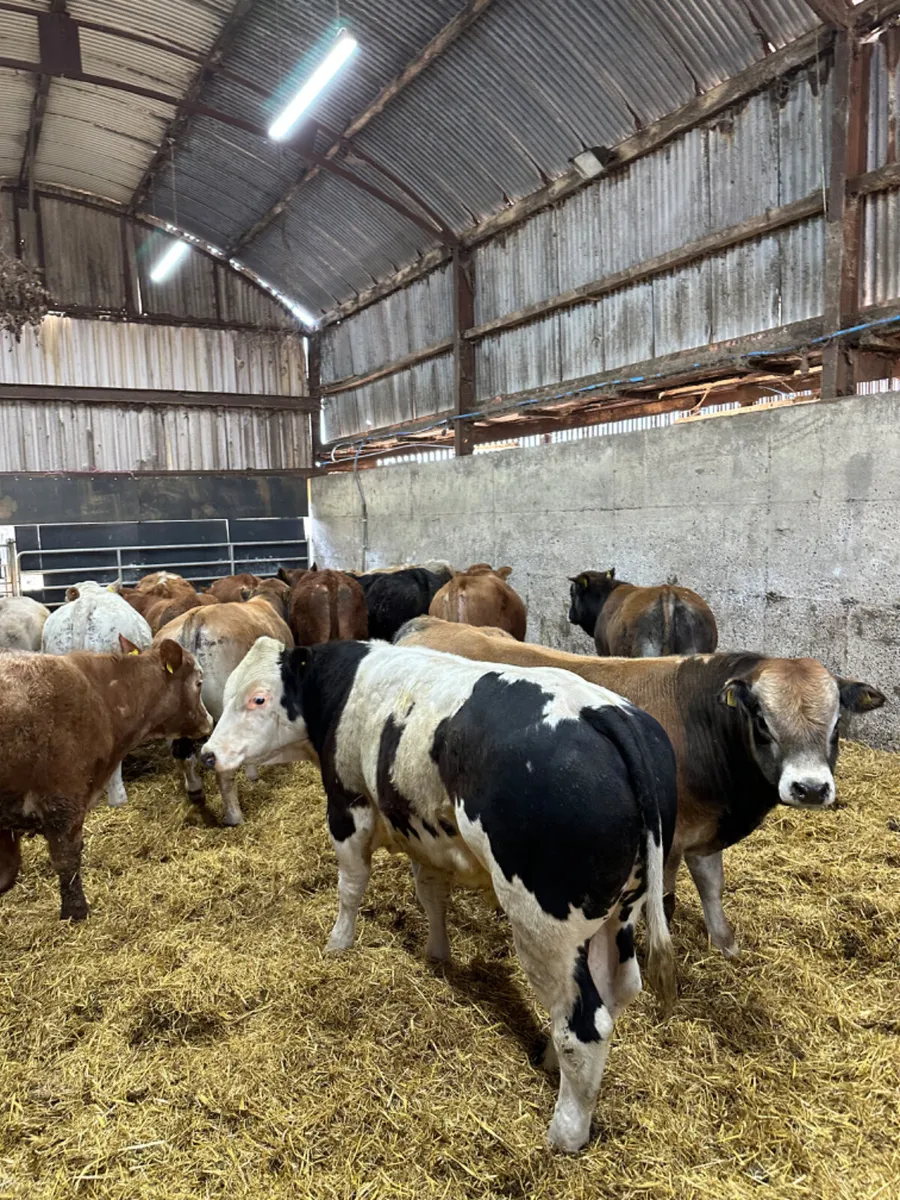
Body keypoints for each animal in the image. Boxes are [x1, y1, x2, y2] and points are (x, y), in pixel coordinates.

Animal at [0, 637, 211, 920]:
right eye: (199, 682)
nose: (209, 720)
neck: (102, 699)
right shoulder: (64, 800)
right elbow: (67, 860)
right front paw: (76, 912)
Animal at [200, 636, 677, 1153]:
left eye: (259, 698)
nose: (206, 754)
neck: (344, 682)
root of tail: (605, 711)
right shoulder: (423, 834)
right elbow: (431, 896)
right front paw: (436, 956)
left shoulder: (348, 805)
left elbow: (350, 886)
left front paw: (338, 943)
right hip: (620, 911)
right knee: (617, 988)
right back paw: (551, 1060)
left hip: (546, 926)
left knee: (585, 1025)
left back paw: (564, 1133)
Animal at [395, 617, 886, 958]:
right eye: (763, 721)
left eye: (837, 724)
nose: (810, 788)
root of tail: (425, 625)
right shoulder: (666, 840)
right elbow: (664, 903)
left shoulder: (703, 835)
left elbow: (712, 886)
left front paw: (726, 945)